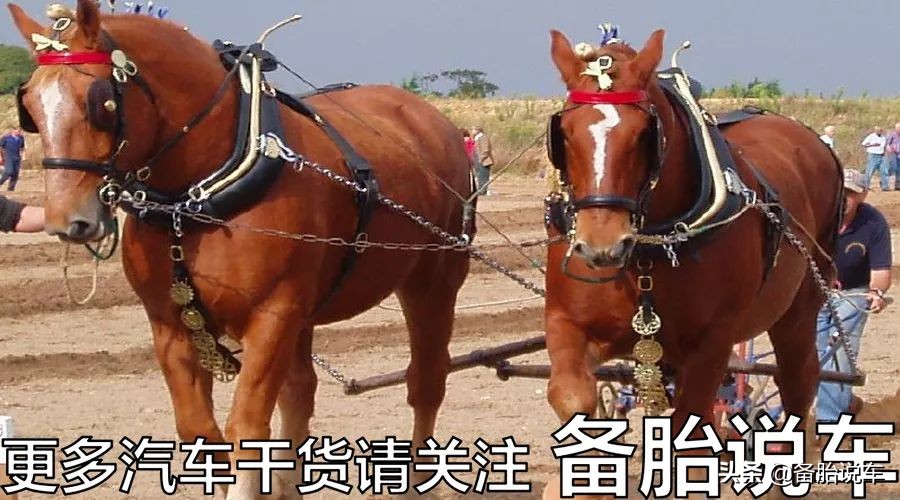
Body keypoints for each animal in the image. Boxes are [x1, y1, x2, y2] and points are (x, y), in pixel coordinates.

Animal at [9, 0, 473, 497]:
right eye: (30, 106)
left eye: (100, 101)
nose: (67, 220)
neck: (196, 198)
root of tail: (433, 120)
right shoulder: (171, 324)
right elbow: (200, 430)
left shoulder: (273, 316)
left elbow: (246, 428)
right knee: (301, 391)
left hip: (433, 281)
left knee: (426, 381)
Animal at [541, 26, 843, 473]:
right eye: (564, 133)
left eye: (644, 134)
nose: (601, 245)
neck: (644, 257)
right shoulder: (567, 325)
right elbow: (574, 401)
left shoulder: (713, 342)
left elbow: (694, 433)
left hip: (799, 311)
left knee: (797, 383)